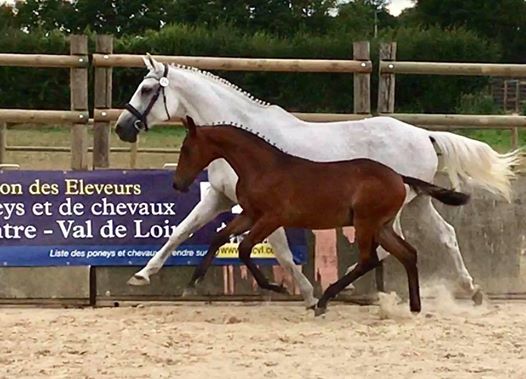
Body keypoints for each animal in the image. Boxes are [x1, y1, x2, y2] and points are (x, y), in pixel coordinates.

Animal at [173, 117, 470, 316]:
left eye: (186, 149)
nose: (178, 184)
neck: (262, 167)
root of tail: (399, 176)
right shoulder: (250, 214)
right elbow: (219, 238)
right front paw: (191, 284)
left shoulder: (272, 217)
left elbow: (245, 249)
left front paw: (276, 287)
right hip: (381, 226)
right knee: (407, 253)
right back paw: (414, 306)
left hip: (366, 223)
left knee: (369, 259)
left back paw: (326, 299)